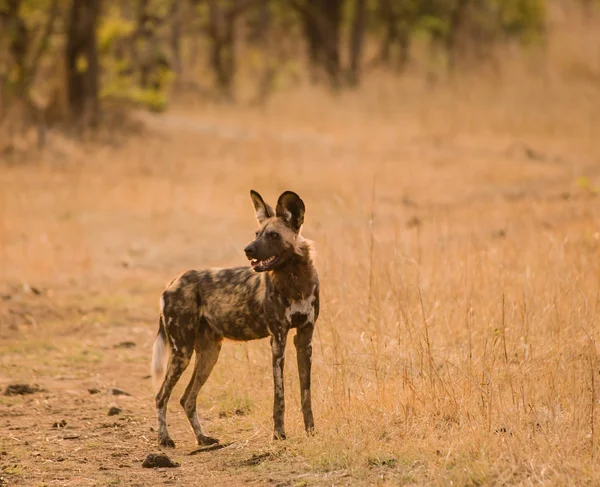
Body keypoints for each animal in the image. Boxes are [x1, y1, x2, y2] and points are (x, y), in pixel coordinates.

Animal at [151, 190, 318, 446]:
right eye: (256, 234)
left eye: (273, 235)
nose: (247, 249)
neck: (295, 280)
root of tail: (173, 282)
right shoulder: (278, 339)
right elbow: (279, 397)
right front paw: (279, 434)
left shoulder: (304, 339)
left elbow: (305, 394)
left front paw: (311, 431)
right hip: (182, 353)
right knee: (161, 397)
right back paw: (165, 439)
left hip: (209, 355)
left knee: (187, 398)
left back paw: (203, 438)